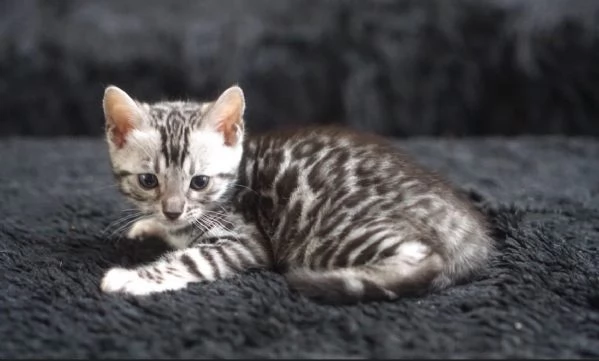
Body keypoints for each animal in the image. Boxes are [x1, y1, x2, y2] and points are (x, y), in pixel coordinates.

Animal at [101, 85, 494, 304]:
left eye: (200, 182)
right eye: (148, 181)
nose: (172, 211)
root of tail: (467, 228)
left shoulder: (244, 239)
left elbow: (193, 259)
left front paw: (133, 277)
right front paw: (149, 225)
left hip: (331, 230)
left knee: (423, 258)